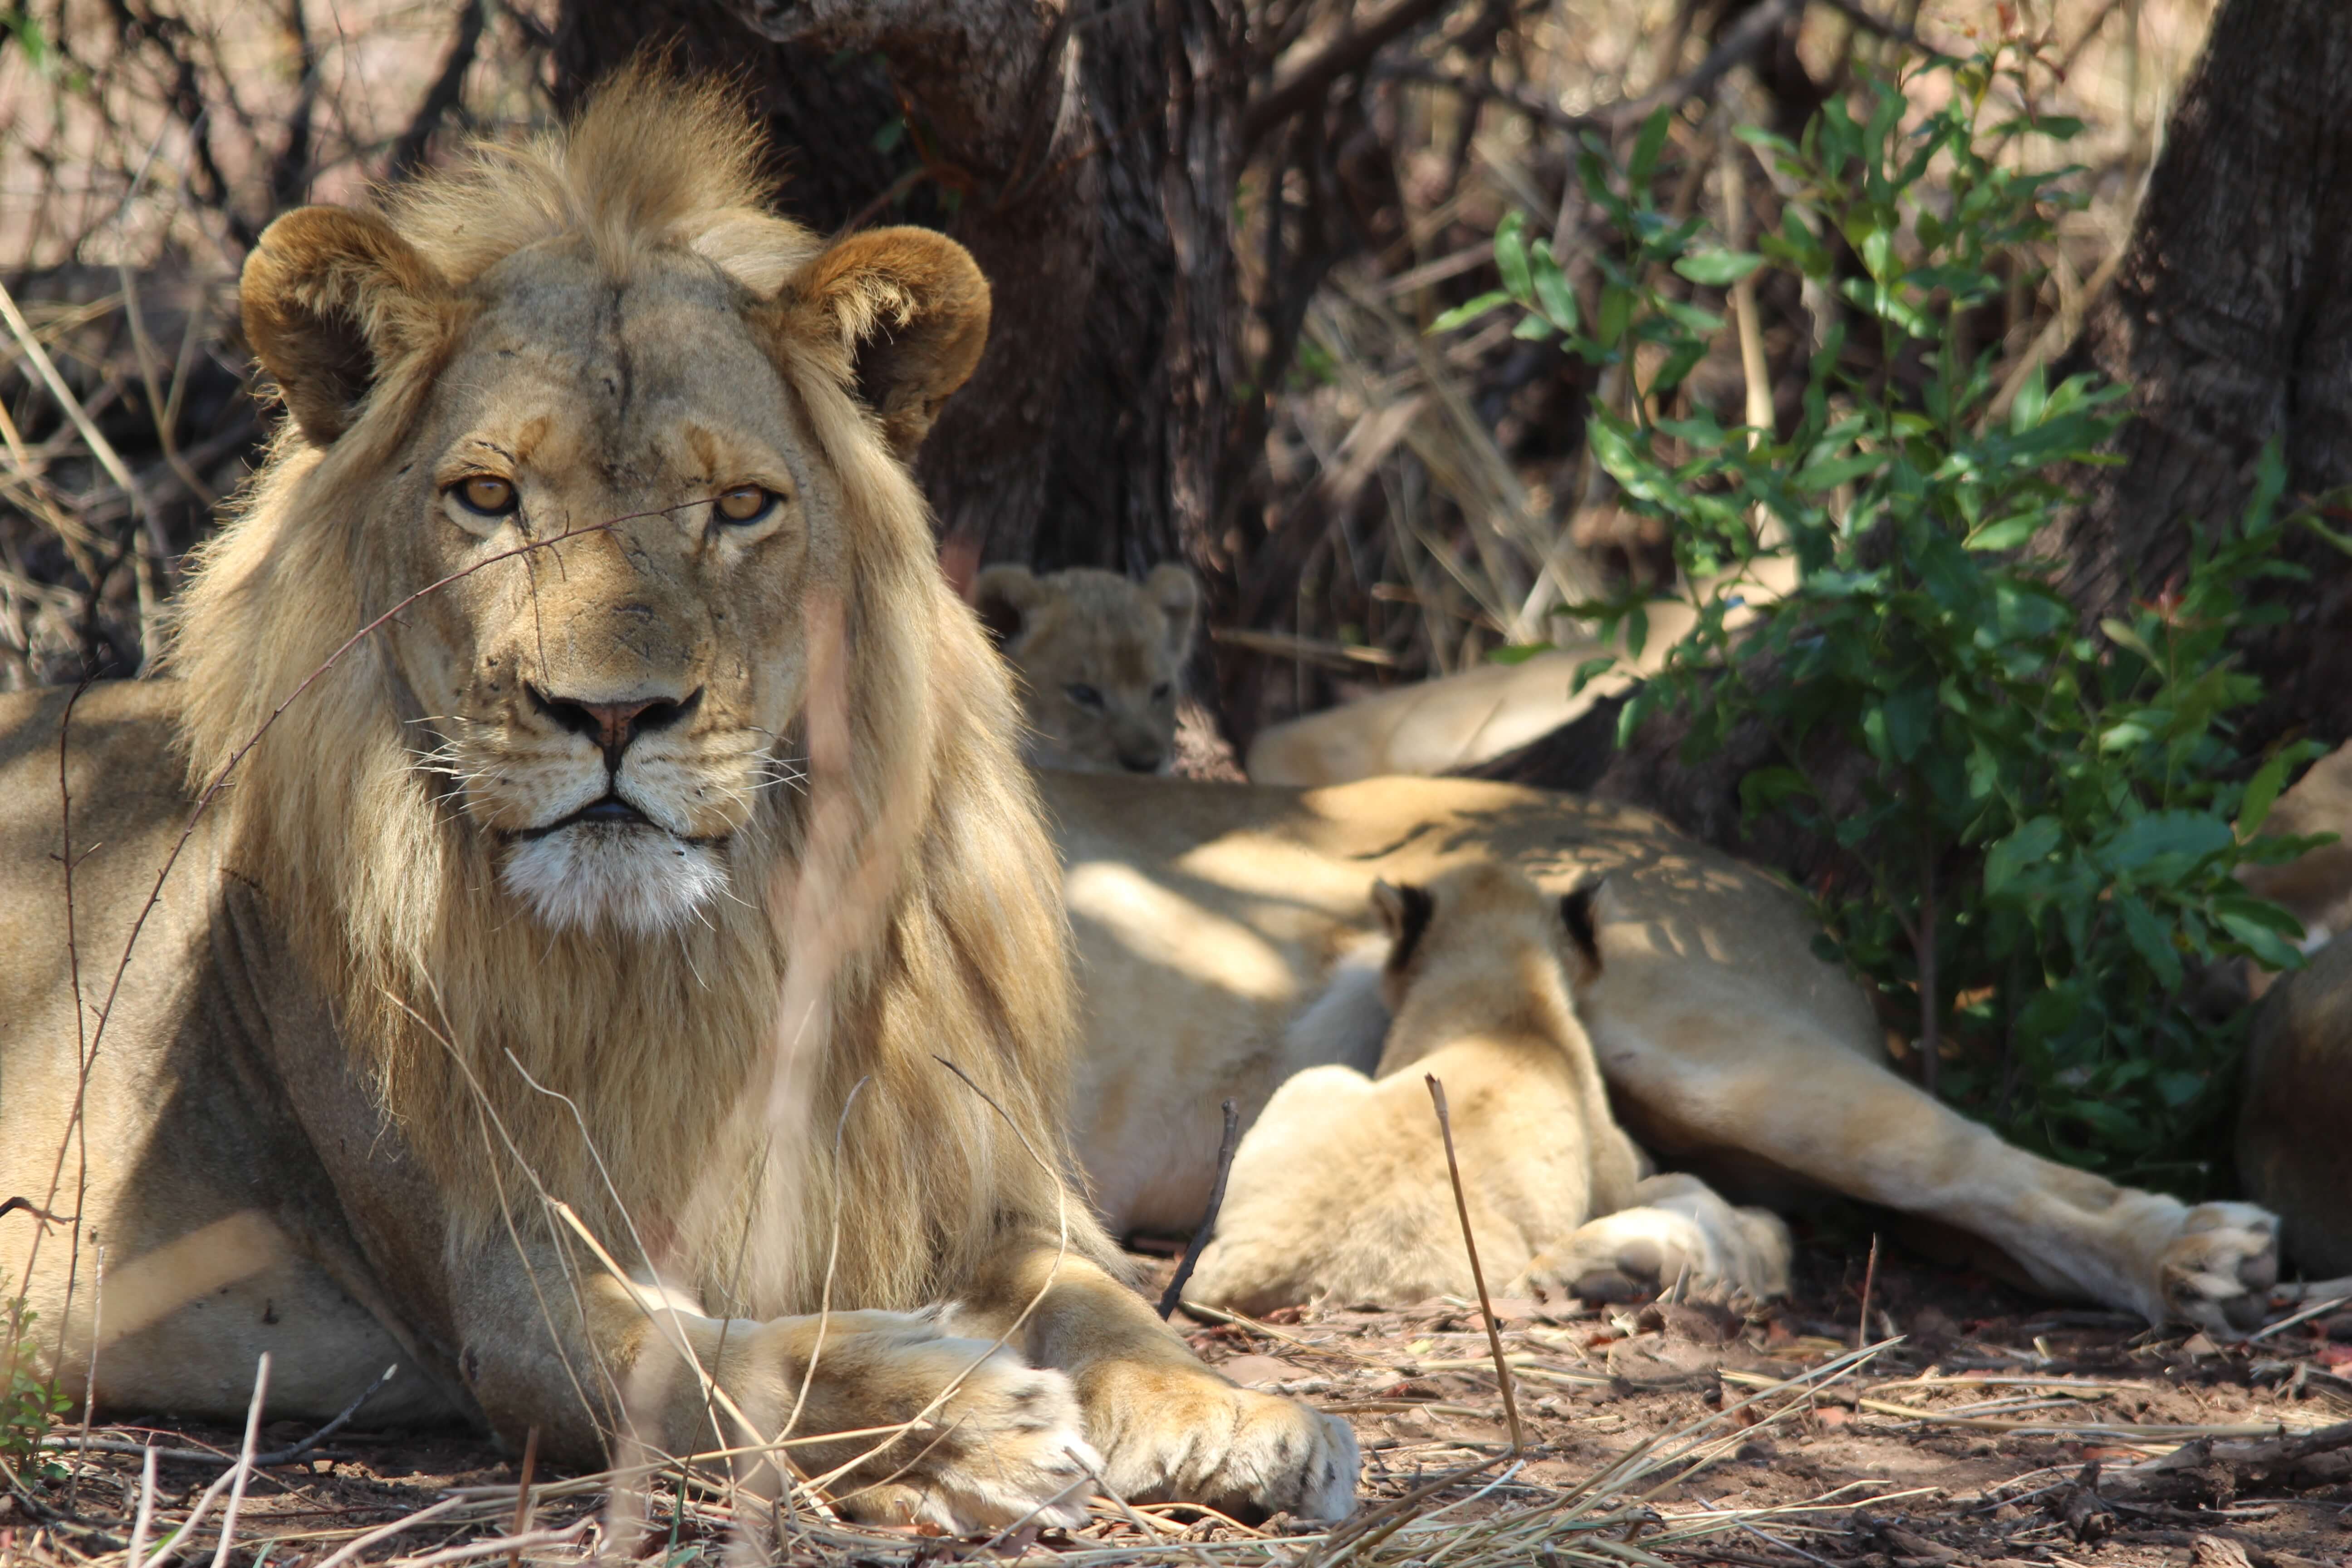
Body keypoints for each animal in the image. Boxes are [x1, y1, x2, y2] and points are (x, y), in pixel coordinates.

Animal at [0, 76, 1354, 1533]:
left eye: (742, 504)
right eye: (488, 496)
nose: (608, 714)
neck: (712, 953)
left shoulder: (992, 1186)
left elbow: (1115, 1306)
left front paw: (1242, 1415)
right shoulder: (511, 1288)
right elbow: (723, 1367)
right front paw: (966, 1418)